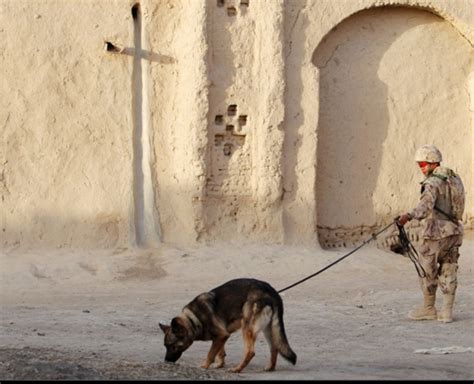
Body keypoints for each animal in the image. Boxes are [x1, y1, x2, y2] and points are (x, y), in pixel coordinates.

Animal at [159, 280, 296, 372]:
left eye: (172, 346)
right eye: (165, 346)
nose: (166, 362)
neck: (193, 320)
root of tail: (271, 291)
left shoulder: (221, 335)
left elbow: (210, 354)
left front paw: (204, 366)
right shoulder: (222, 336)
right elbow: (220, 351)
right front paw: (219, 364)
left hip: (247, 328)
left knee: (250, 352)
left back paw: (237, 369)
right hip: (268, 329)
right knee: (274, 347)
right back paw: (270, 367)